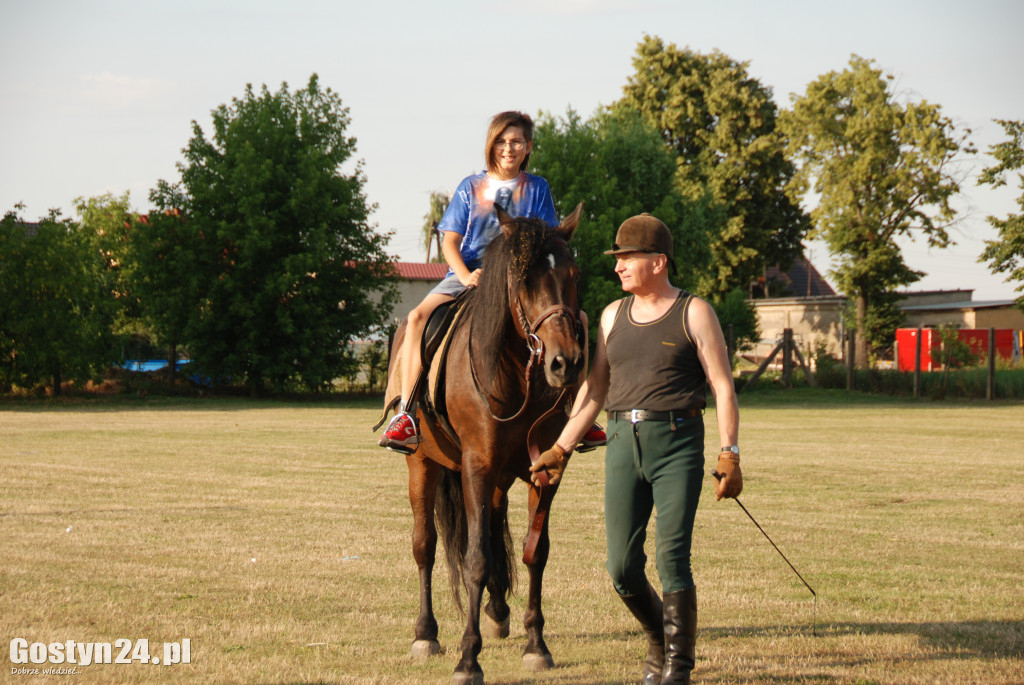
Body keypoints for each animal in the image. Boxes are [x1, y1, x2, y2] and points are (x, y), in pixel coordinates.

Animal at [380, 204, 585, 683]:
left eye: (573, 274)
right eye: (523, 280)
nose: (565, 363)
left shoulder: (543, 470)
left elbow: (534, 553)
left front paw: (536, 644)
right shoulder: (476, 465)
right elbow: (473, 558)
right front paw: (468, 658)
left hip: (497, 480)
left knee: (492, 532)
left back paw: (497, 611)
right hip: (423, 465)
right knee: (425, 544)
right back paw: (426, 634)